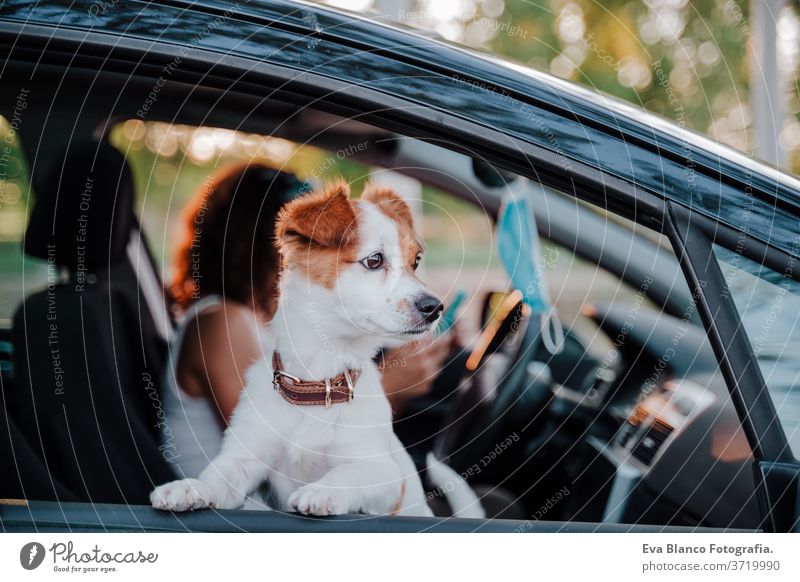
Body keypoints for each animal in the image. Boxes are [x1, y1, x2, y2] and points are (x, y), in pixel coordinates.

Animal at [153, 180, 484, 516]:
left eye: (415, 262)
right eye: (374, 260)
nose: (435, 308)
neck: (318, 380)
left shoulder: (385, 474)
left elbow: (347, 473)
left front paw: (322, 491)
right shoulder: (244, 458)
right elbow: (216, 478)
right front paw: (189, 487)